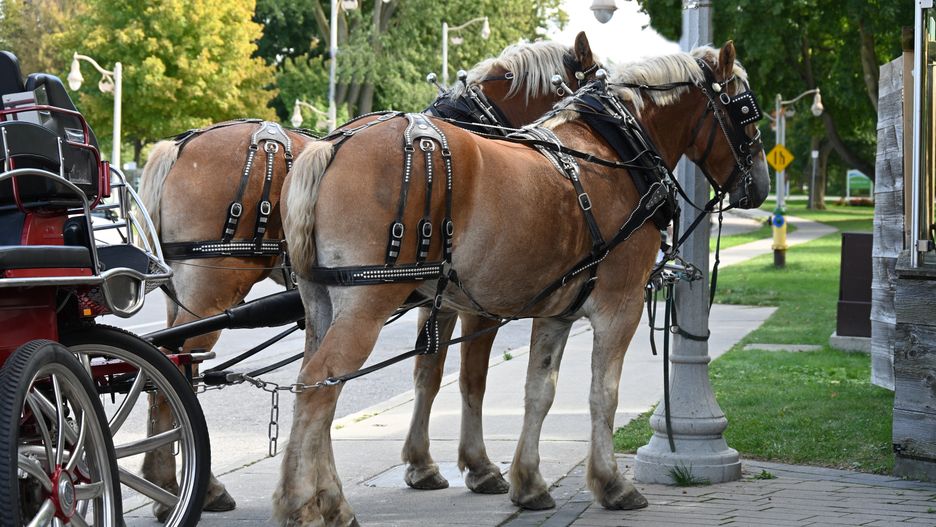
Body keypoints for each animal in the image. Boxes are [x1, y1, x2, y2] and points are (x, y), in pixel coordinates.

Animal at [136, 33, 599, 518]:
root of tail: (176, 149)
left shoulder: (438, 298)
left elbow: (428, 373)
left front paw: (421, 464)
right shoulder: (480, 304)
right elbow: (472, 378)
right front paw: (479, 467)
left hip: (183, 293)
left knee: (166, 369)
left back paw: (168, 482)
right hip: (214, 291)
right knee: (176, 368)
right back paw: (186, 486)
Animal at [277, 41, 769, 525]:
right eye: (747, 112)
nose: (761, 186)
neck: (617, 149)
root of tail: (333, 144)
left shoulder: (556, 311)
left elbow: (537, 391)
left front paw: (528, 483)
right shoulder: (617, 305)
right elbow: (600, 394)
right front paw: (611, 483)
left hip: (322, 304)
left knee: (310, 384)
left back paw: (324, 498)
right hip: (368, 302)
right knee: (323, 384)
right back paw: (304, 504)